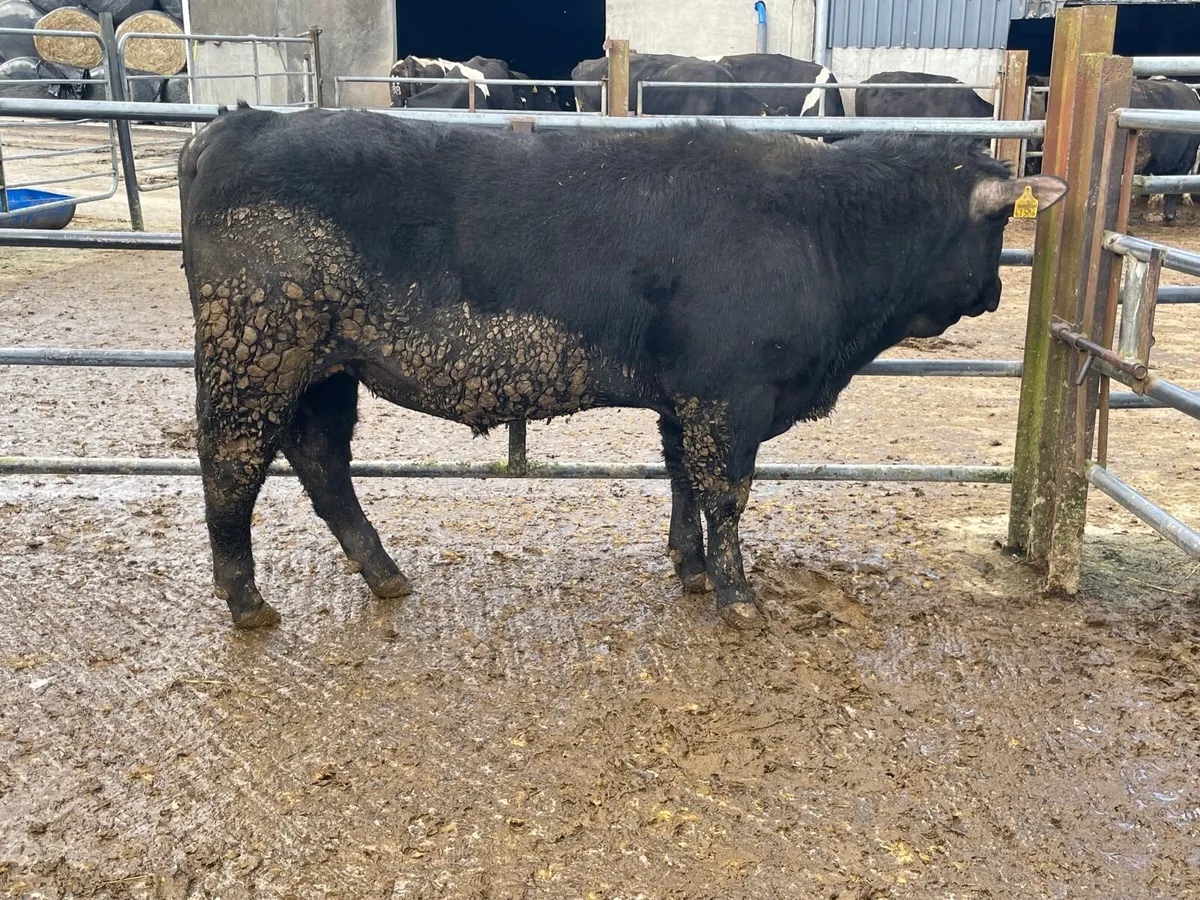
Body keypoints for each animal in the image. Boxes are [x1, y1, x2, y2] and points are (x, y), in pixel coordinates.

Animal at [178, 105, 1068, 631]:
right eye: (995, 231)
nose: (996, 291)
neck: (819, 228)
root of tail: (240, 124)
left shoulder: (685, 398)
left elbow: (681, 479)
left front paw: (690, 567)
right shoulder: (729, 396)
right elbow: (726, 493)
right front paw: (739, 595)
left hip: (326, 367)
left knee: (321, 460)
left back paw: (384, 575)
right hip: (256, 354)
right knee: (231, 464)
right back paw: (246, 599)